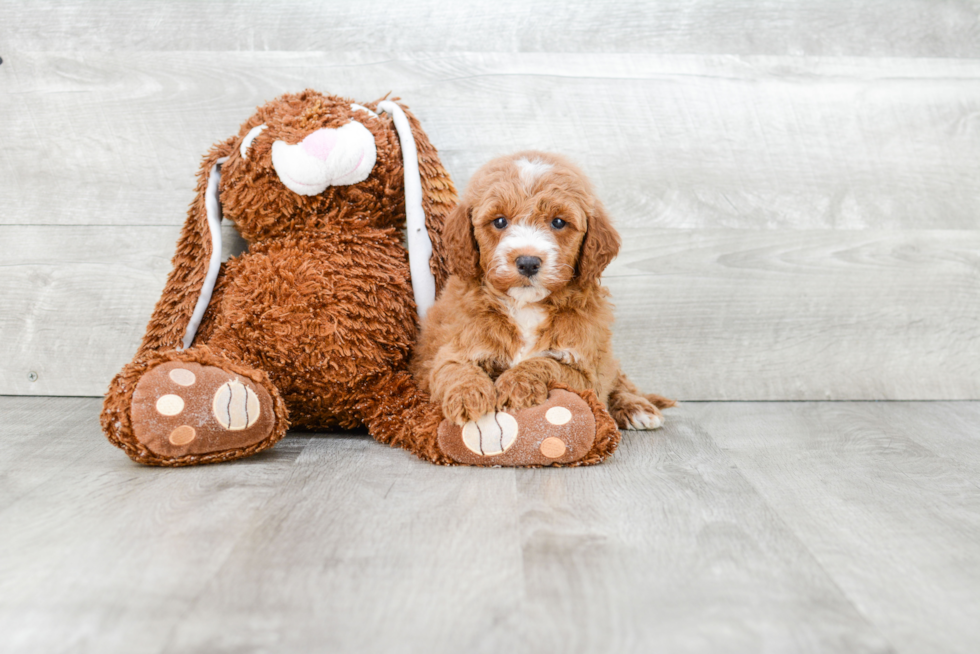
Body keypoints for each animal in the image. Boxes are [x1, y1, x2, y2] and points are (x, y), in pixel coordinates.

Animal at [412, 151, 672, 434]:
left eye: (558, 222)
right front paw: (467, 395)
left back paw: (636, 407)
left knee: (619, 379)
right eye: (499, 221)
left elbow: (546, 363)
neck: (526, 306)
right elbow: (455, 368)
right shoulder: (453, 346)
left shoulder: (586, 373)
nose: (527, 262)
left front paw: (516, 383)